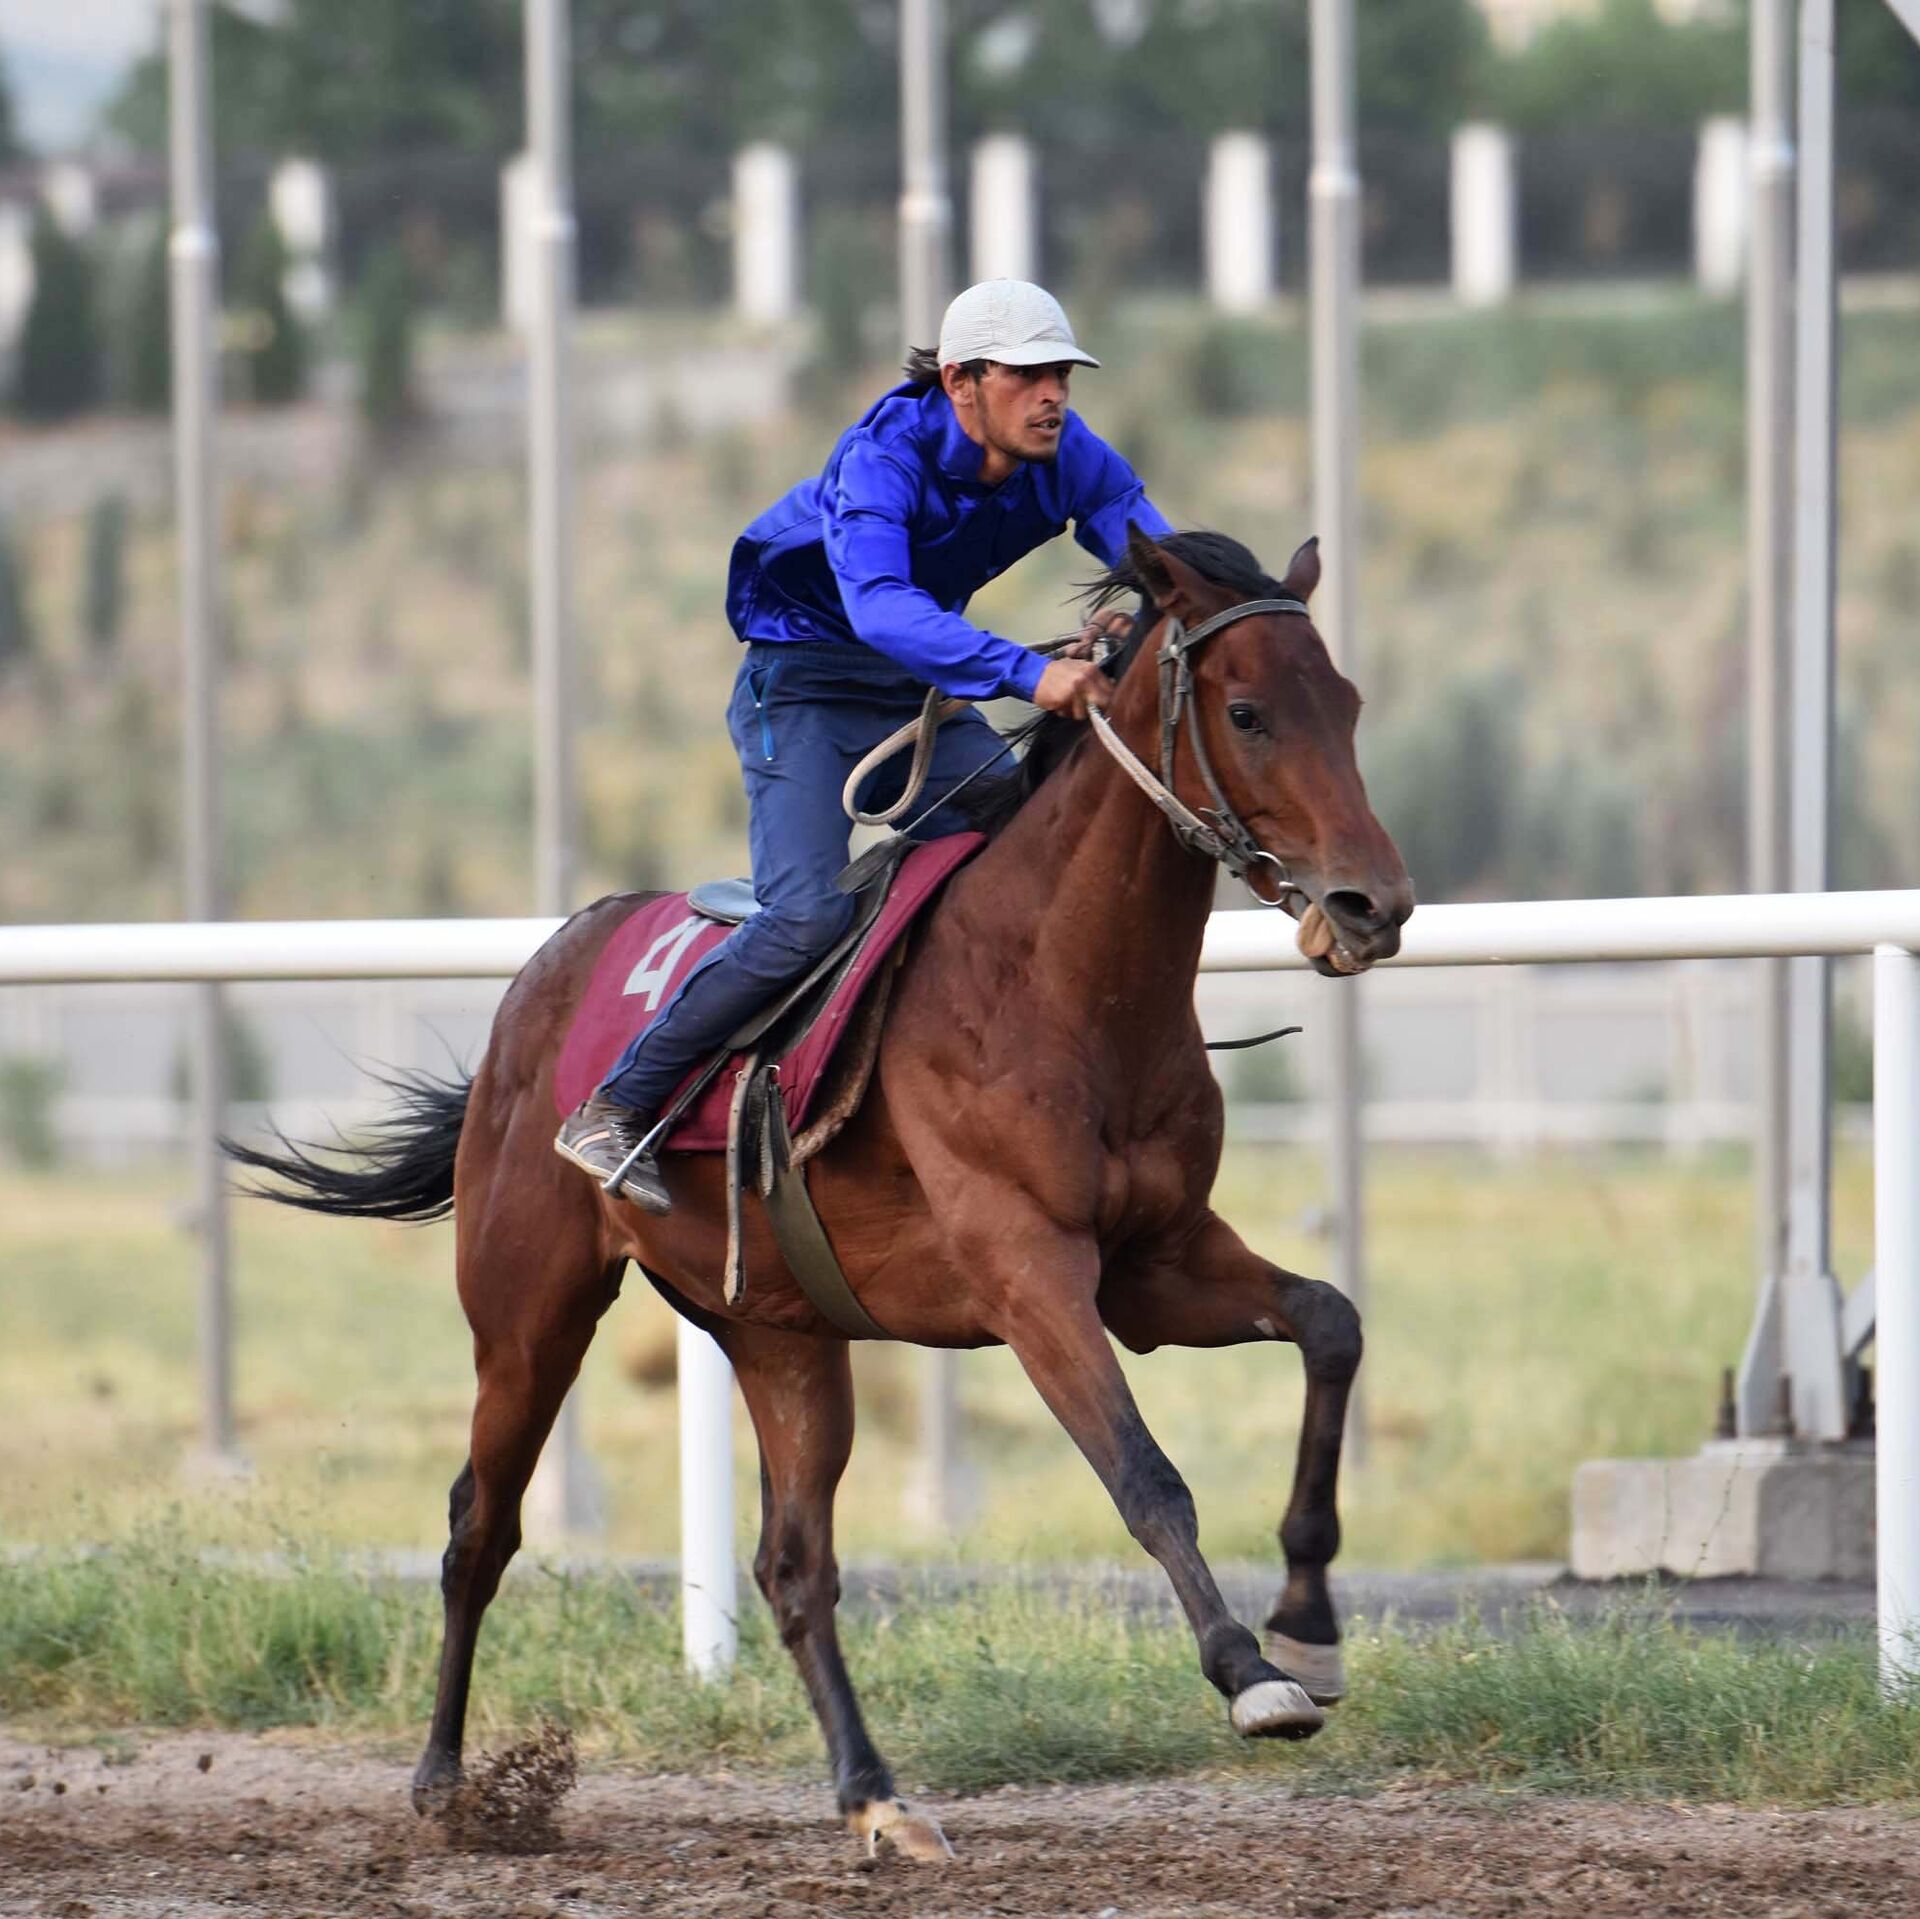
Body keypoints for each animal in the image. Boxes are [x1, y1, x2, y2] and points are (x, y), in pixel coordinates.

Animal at [232, 524, 1413, 1862]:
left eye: (1348, 702)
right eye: (1250, 710)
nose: (1374, 904)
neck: (1058, 979)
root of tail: (544, 969)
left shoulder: (1155, 1261)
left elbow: (1329, 1321)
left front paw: (1311, 1625)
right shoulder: (1030, 1270)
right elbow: (1146, 1472)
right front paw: (1248, 1670)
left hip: (780, 1332)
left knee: (794, 1565)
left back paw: (876, 1792)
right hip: (529, 1310)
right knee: (478, 1524)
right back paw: (446, 1785)